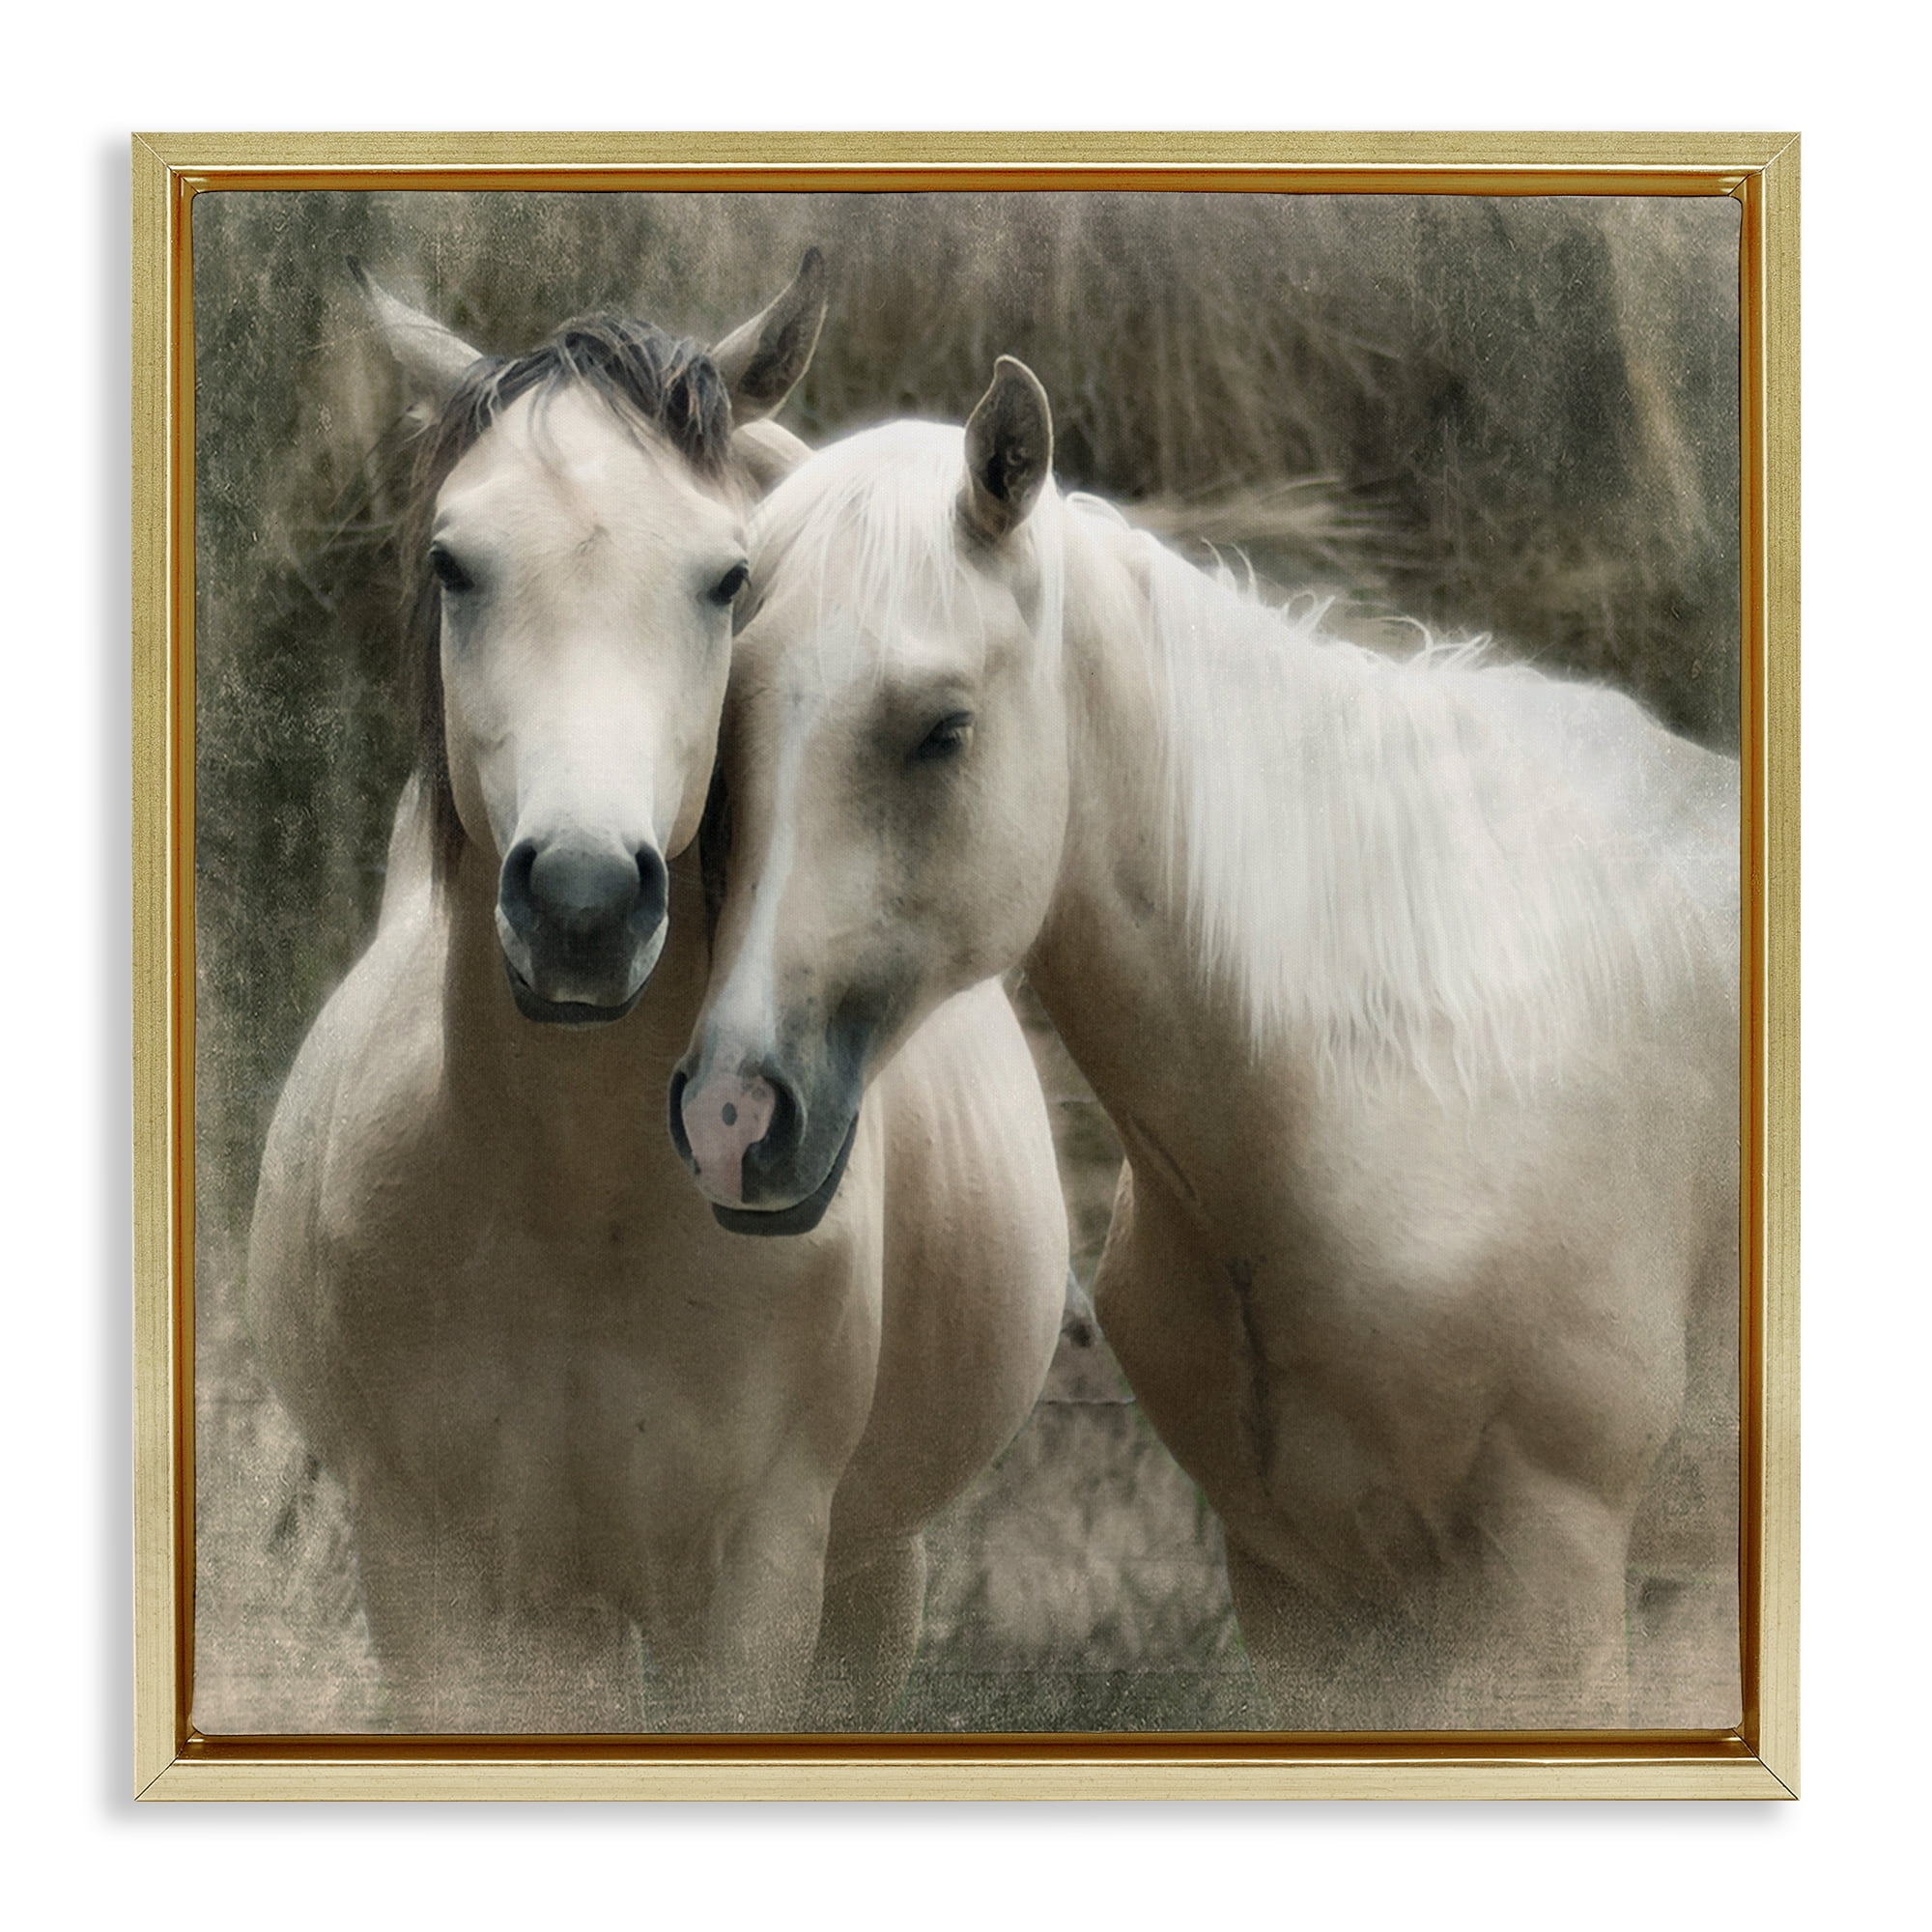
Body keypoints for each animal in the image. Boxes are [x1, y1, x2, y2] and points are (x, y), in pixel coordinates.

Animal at [244, 282, 1068, 1733]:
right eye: (452, 563)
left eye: (726, 578)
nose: (581, 900)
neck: (579, 1215)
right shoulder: (434, 1578)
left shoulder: (752, 1588)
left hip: (873, 1569)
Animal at [673, 357, 1741, 1730]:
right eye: (725, 731)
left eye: (942, 728)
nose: (731, 1116)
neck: (1410, 1075)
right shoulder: (1305, 1597)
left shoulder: (1544, 1596)